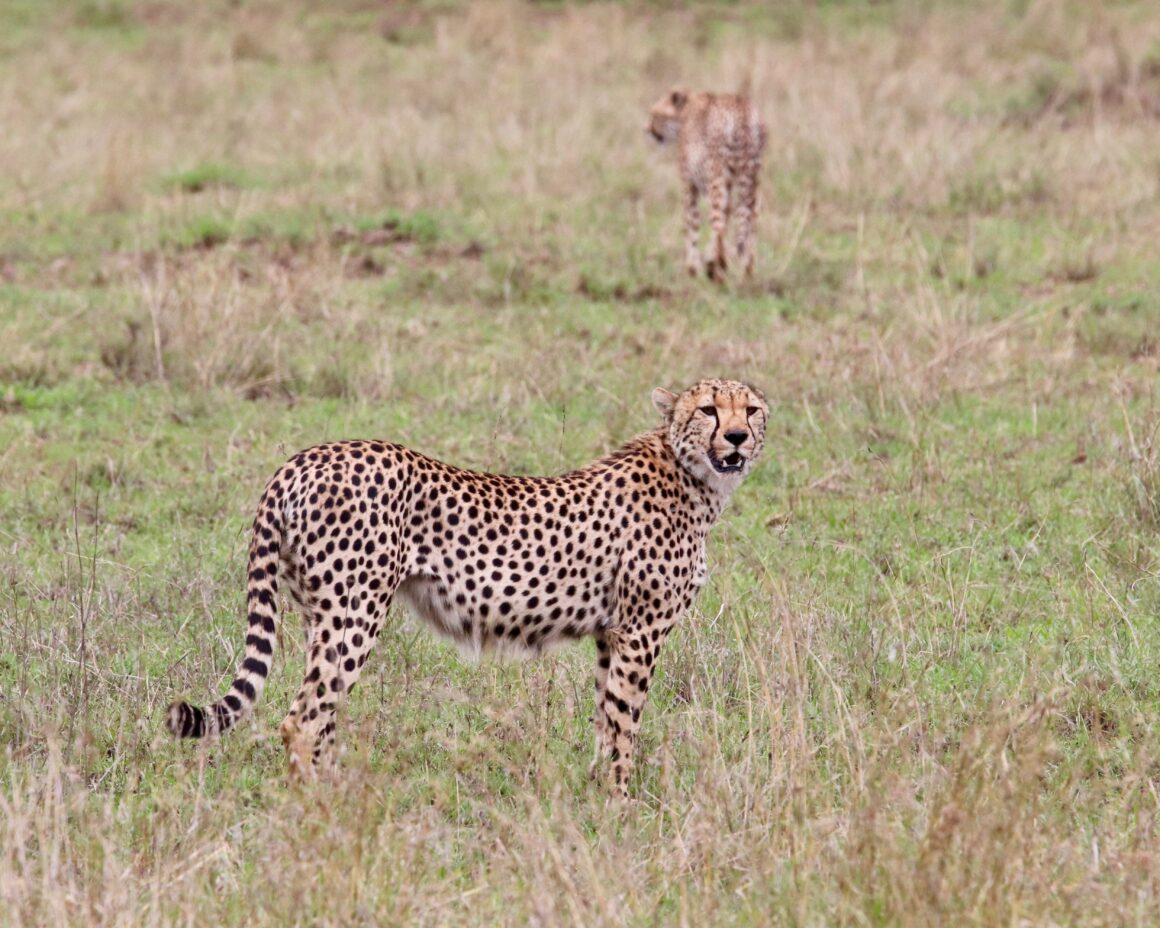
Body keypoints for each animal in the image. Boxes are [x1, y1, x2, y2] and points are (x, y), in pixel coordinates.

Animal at [166, 378, 768, 799]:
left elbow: (605, 718)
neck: (694, 477)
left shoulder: (611, 634)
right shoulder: (640, 632)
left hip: (321, 611)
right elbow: (625, 724)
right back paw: (317, 810)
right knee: (303, 720)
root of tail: (303, 458)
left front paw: (599, 793)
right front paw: (621, 806)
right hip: (354, 612)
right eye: (708, 409)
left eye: (751, 410)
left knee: (323, 716)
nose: (737, 437)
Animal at [647, 87, 768, 281]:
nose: (647, 129)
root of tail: (742, 110)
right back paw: (746, 273)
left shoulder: (689, 186)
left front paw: (692, 269)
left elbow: (691, 225)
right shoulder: (728, 186)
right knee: (748, 227)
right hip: (750, 182)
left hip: (717, 179)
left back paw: (717, 268)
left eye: (655, 114)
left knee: (718, 226)